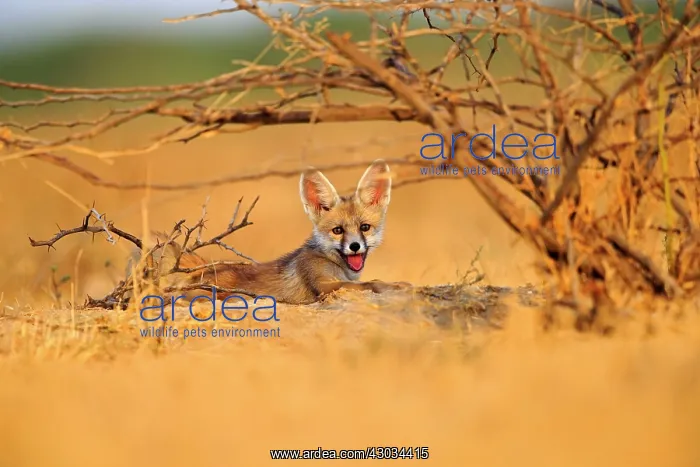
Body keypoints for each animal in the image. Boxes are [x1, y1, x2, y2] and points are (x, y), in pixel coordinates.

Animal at [128, 159, 410, 305]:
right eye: (337, 230)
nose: (355, 247)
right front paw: (397, 285)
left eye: (364, 228)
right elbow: (371, 283)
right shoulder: (323, 286)